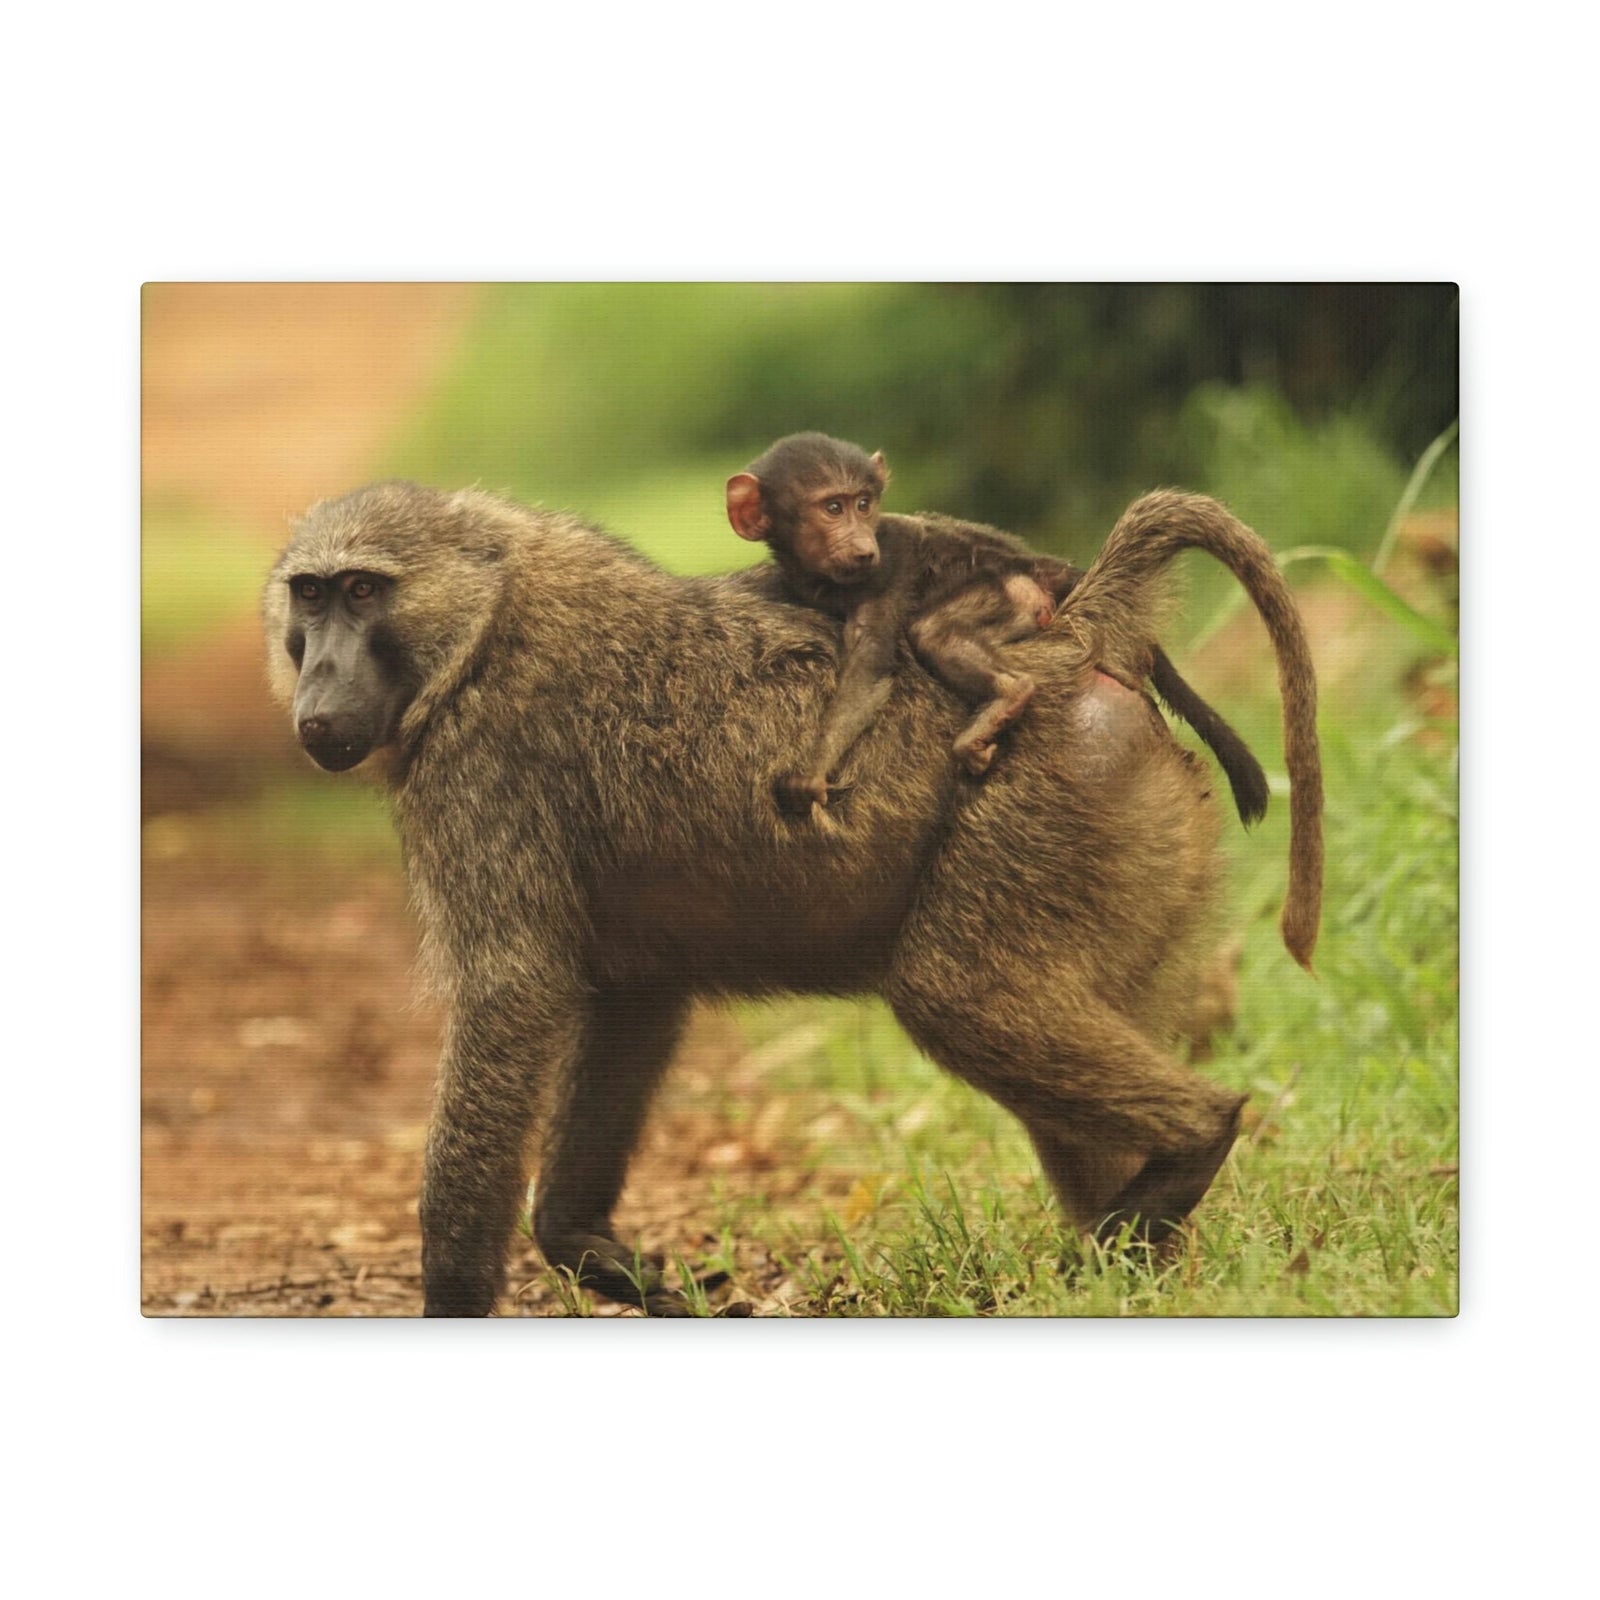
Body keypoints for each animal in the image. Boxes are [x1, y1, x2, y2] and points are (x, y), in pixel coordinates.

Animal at [264, 479, 1321, 1316]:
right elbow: (629, 998)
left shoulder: (482, 763)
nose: (317, 697)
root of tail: (1077, 638)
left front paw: (453, 1295)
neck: (486, 618)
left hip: (1054, 795)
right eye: (309, 596)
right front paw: (594, 1252)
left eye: (363, 591)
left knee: (959, 996)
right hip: (1131, 834)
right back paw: (1147, 1266)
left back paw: (1188, 1149)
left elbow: (510, 994)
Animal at [726, 432, 1270, 826]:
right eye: (833, 508)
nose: (862, 546)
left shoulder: (888, 568)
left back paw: (1009, 694)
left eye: (864, 504)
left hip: (1016, 594)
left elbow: (869, 668)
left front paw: (811, 774)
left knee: (934, 630)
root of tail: (1039, 564)